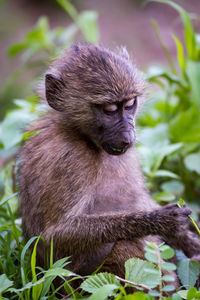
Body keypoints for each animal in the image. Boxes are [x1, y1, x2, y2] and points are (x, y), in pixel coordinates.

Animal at [18, 44, 199, 288]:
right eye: (110, 109)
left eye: (130, 105)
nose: (128, 136)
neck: (83, 136)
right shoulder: (70, 159)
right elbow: (55, 234)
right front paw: (163, 222)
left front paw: (188, 240)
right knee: (124, 247)